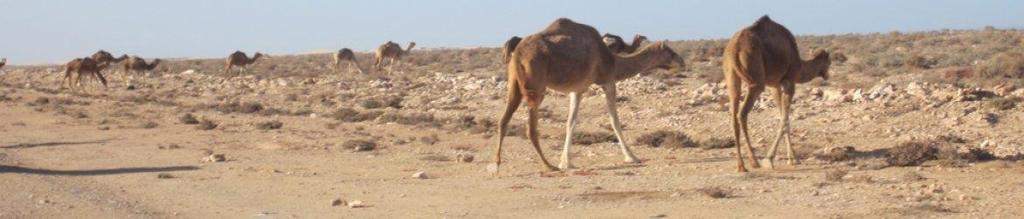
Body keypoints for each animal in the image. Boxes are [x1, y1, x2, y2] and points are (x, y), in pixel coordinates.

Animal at [491, 17, 684, 173]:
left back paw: (497, 165)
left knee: (503, 120)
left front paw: (566, 162)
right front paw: (632, 157)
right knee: (530, 128)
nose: (682, 62)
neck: (613, 60)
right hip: (536, 85)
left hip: (514, 84)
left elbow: (571, 122)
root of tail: (517, 51)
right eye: (671, 52)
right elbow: (614, 121)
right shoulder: (608, 81)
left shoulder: (577, 89)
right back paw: (548, 165)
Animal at [720, 15, 831, 172]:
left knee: (733, 114)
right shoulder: (789, 81)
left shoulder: (775, 85)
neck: (800, 64)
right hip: (756, 80)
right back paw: (754, 161)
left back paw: (741, 165)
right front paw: (771, 159)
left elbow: (782, 115)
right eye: (829, 62)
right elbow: (785, 119)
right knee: (742, 114)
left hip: (731, 77)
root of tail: (735, 48)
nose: (827, 75)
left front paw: (792, 159)